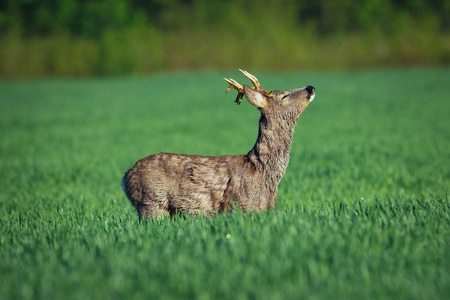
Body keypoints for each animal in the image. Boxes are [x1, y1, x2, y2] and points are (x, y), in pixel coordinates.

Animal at [121, 70, 314, 220]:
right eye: (284, 95)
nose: (310, 87)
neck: (262, 172)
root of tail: (125, 177)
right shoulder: (241, 206)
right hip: (151, 202)